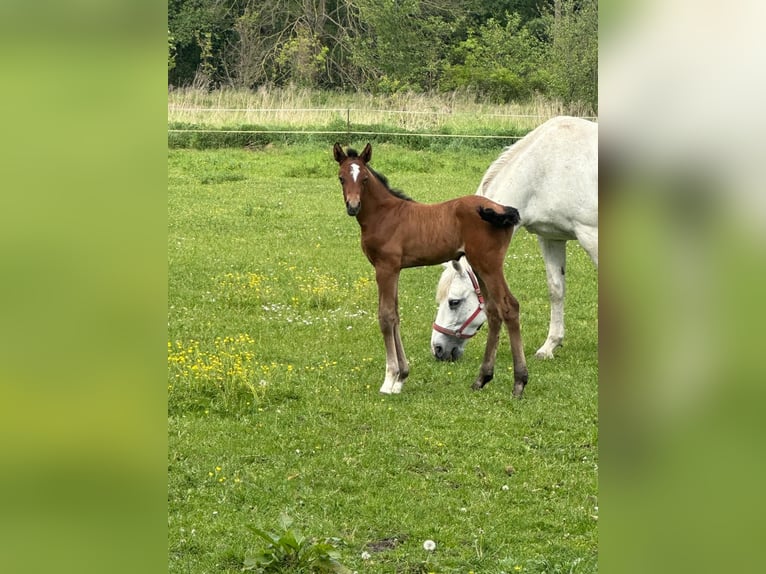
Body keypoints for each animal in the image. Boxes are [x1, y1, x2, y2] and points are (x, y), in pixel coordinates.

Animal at [332, 142, 532, 398]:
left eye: (364, 179)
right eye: (341, 178)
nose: (353, 206)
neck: (384, 215)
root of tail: (501, 208)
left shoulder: (385, 267)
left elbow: (386, 316)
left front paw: (389, 379)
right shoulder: (395, 269)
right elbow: (395, 315)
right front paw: (402, 377)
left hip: (490, 264)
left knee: (509, 307)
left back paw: (519, 383)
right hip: (479, 266)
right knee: (493, 311)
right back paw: (481, 379)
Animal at [432, 115, 600, 362]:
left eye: (454, 302)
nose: (438, 349)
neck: (547, 170)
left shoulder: (591, 235)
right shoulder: (550, 238)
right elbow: (556, 289)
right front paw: (549, 346)